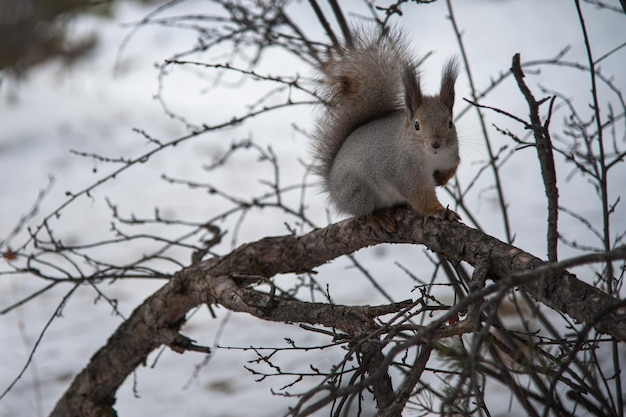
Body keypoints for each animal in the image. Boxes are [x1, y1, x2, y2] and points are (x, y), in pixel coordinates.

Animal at [312, 28, 458, 224]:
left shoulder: (451, 154)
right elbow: (420, 196)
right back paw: (378, 217)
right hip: (360, 191)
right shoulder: (406, 172)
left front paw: (442, 178)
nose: (436, 144)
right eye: (417, 125)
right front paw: (439, 211)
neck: (432, 157)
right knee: (364, 211)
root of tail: (333, 188)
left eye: (450, 123)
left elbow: (454, 167)